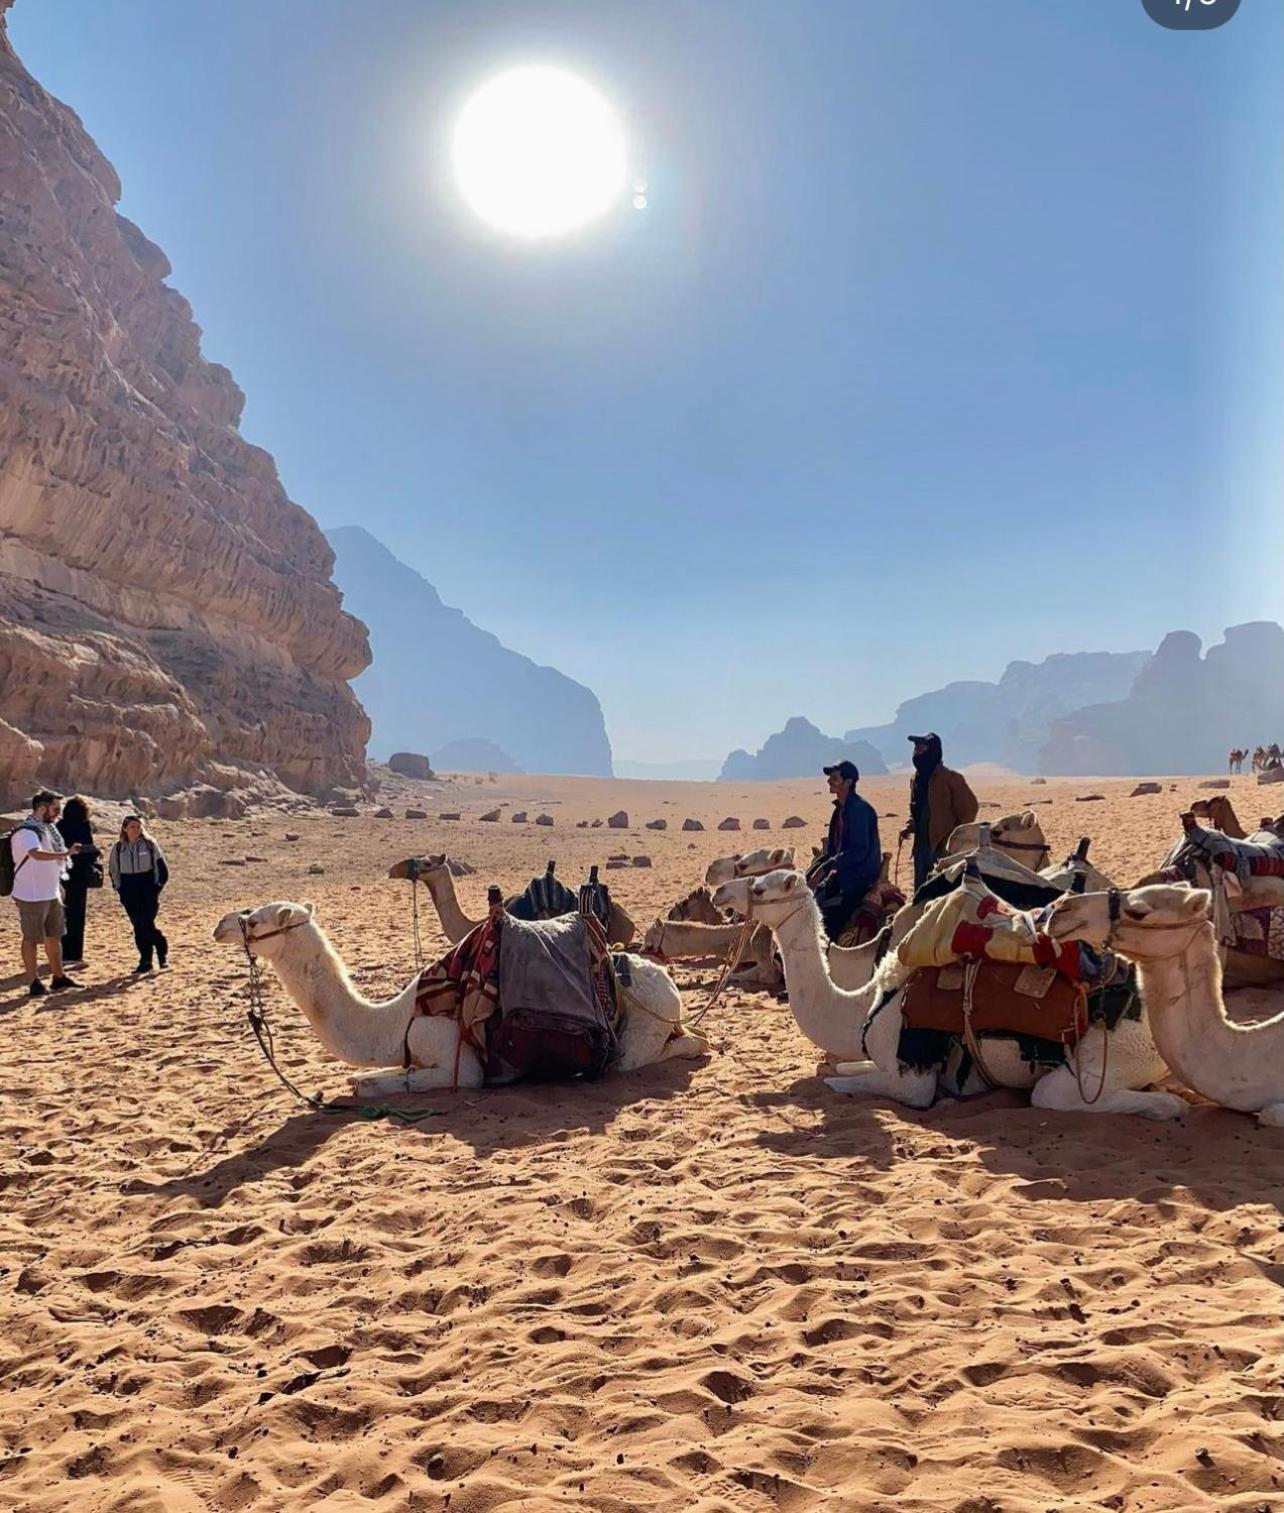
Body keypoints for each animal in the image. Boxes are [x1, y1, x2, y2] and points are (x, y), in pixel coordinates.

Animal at [214, 895, 707, 1101]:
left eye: (254, 921)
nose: (220, 926)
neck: (398, 1018)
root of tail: (668, 982)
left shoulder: (458, 1059)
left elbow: (386, 1082)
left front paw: (369, 1085)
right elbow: (377, 1073)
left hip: (642, 1030)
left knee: (673, 1047)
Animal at [707, 871, 1179, 1119]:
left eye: (761, 888)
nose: (719, 891)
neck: (864, 1002)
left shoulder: (912, 1072)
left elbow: (842, 1081)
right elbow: (842, 1064)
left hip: (1110, 1055)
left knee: (1056, 1094)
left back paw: (1168, 1105)